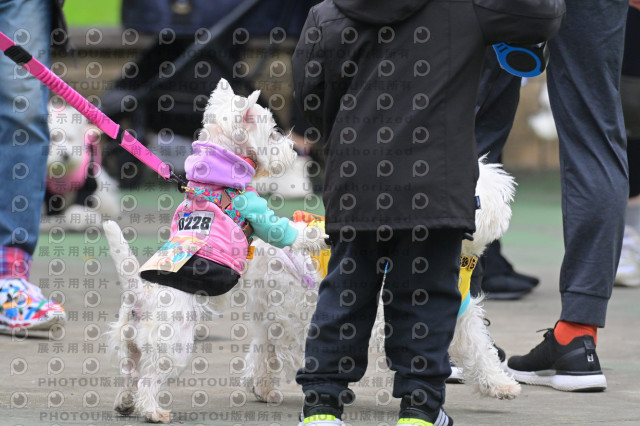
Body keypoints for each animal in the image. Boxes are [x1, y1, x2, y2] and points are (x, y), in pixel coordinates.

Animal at [42, 99, 120, 232]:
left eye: (70, 138)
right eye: (52, 138)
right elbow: (52, 201)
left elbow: (83, 197)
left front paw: (81, 218)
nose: (66, 155)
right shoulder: (47, 186)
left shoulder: (88, 179)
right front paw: (52, 220)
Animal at [104, 79, 326, 423]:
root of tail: (138, 294)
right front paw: (315, 234)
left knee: (129, 374)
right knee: (148, 379)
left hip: (128, 340)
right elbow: (286, 231)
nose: (293, 150)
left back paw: (125, 403)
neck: (219, 173)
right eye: (273, 133)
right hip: (175, 344)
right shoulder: (258, 213)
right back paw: (154, 411)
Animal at [241, 157, 521, 402]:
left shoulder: (462, 312)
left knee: (261, 345)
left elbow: (479, 348)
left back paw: (261, 388)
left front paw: (500, 385)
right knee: (279, 348)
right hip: (294, 304)